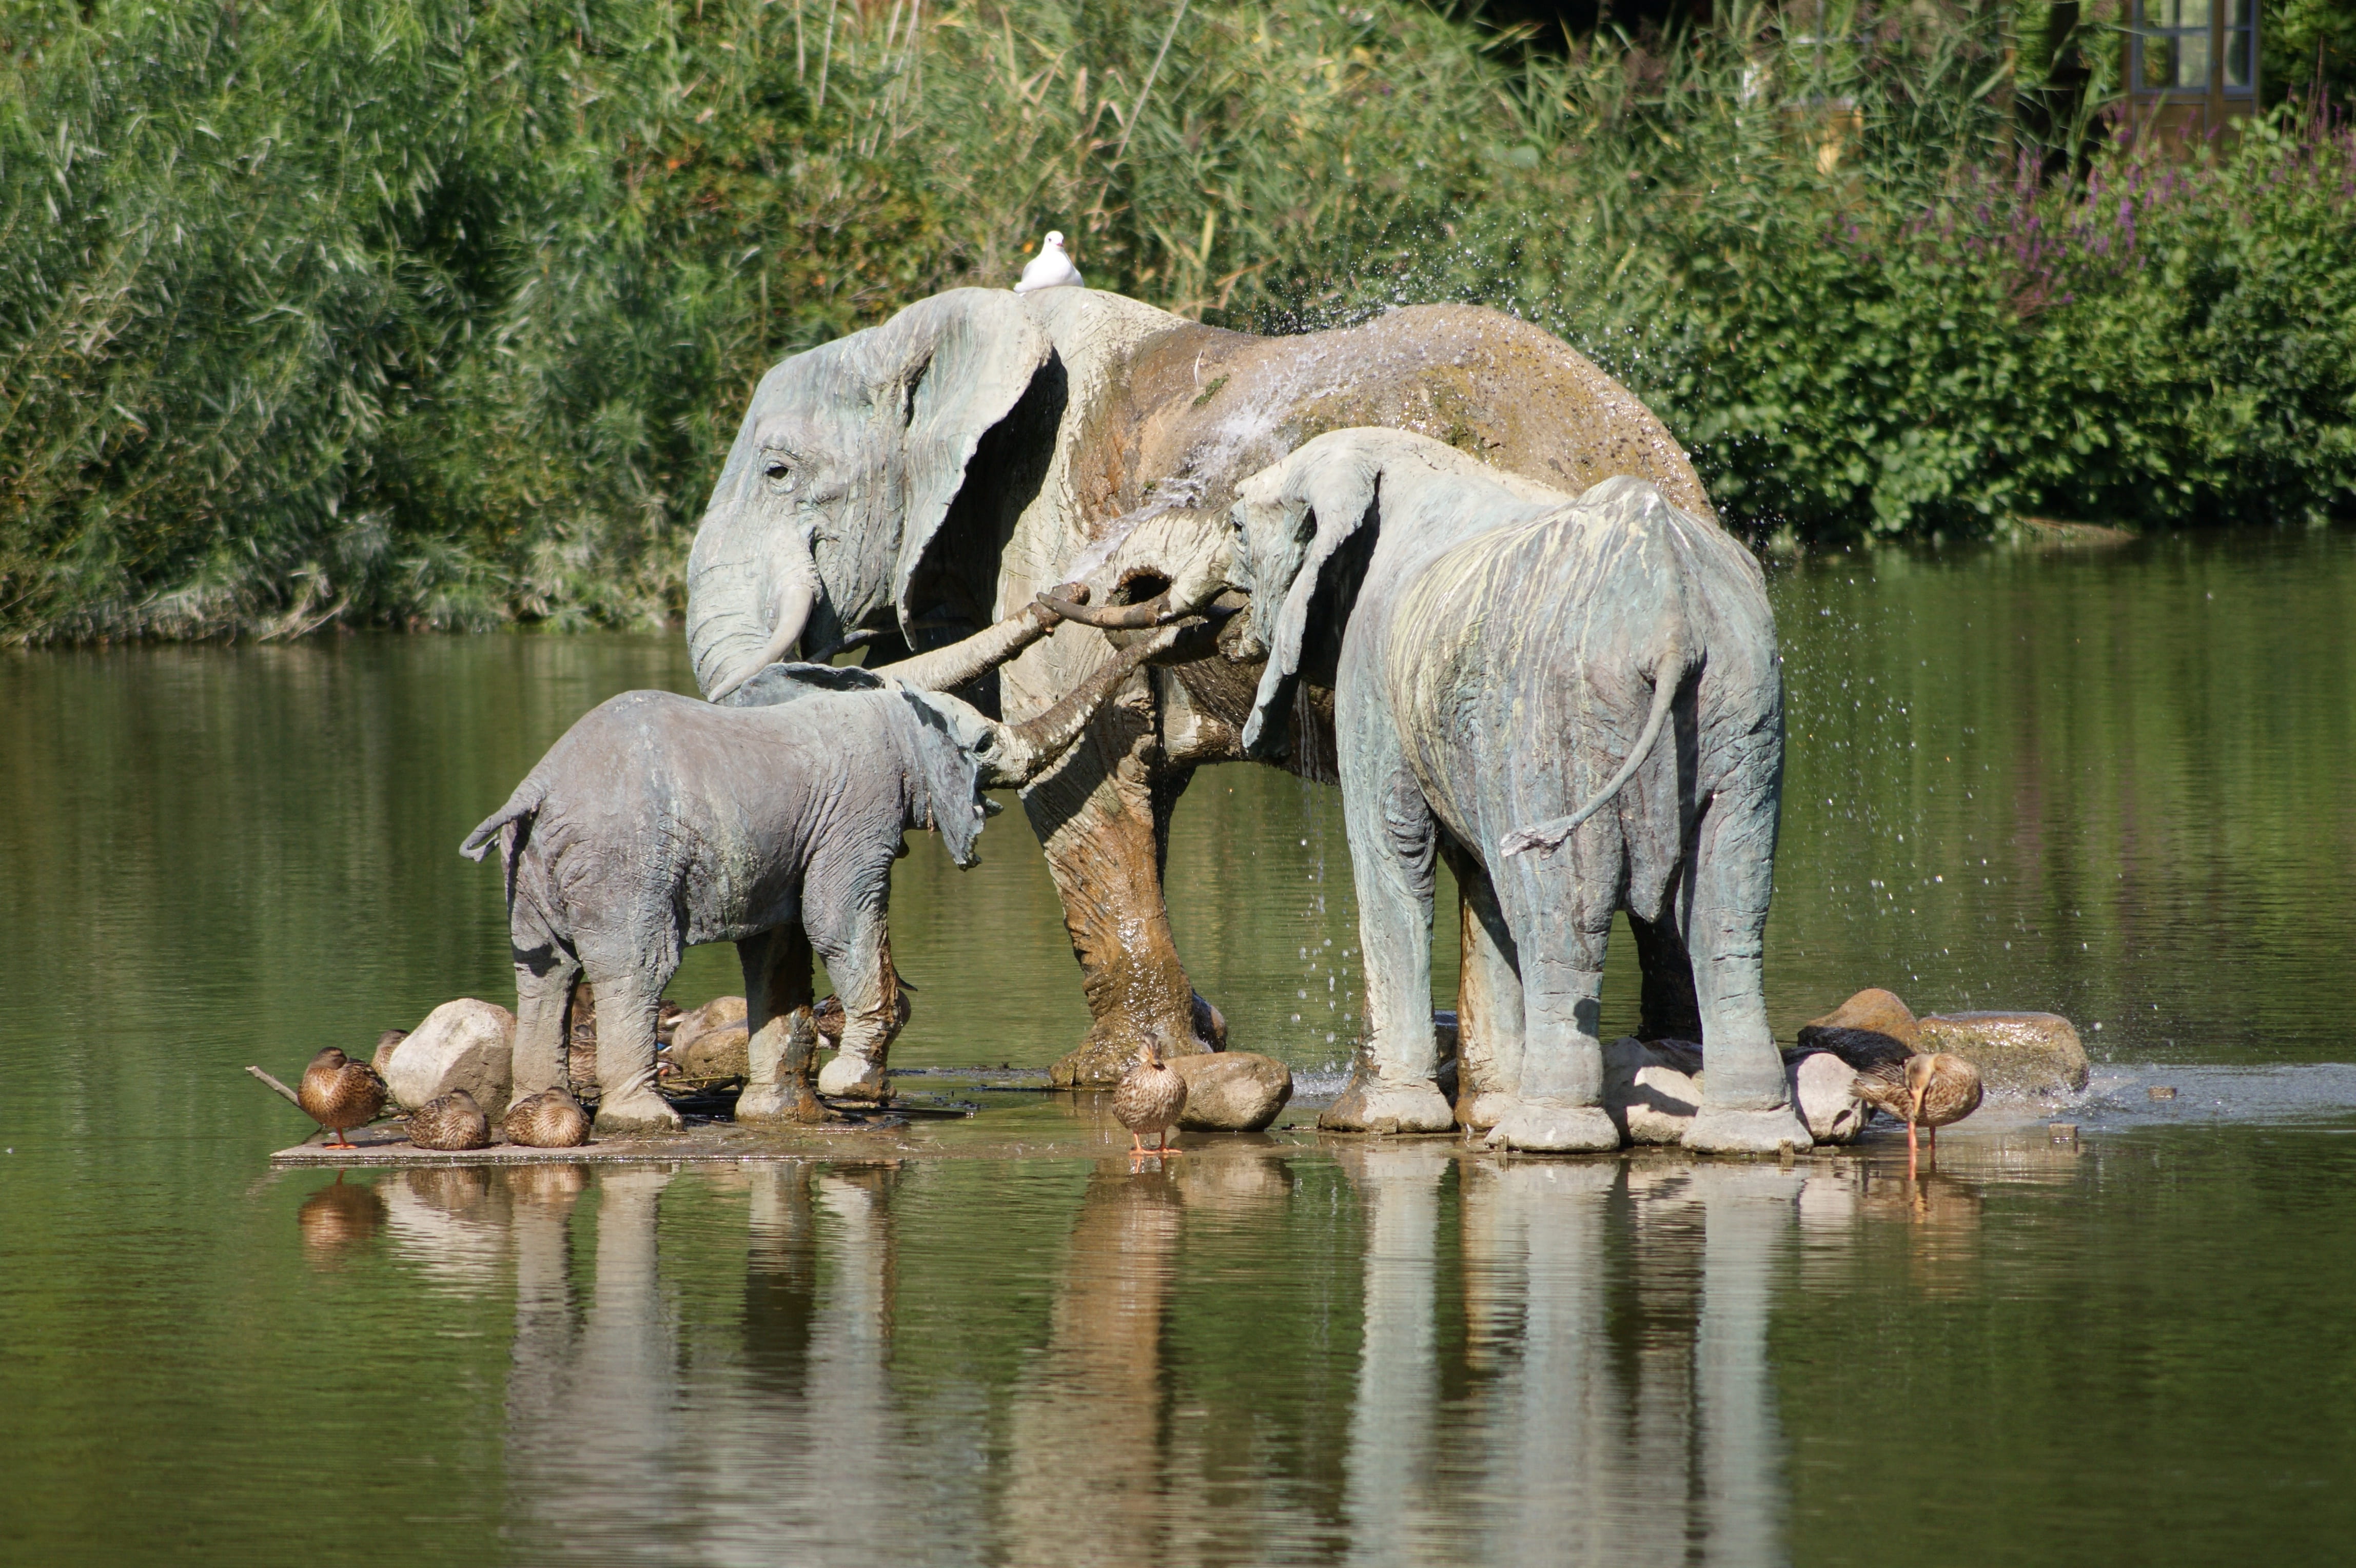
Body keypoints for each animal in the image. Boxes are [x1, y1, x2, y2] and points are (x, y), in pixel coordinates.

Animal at [461, 608, 1189, 1135]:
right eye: (981, 744)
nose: (1172, 620)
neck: (890, 702)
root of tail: (539, 788)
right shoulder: (859, 809)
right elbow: (839, 921)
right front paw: (856, 1087)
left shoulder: (782, 845)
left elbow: (777, 945)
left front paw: (780, 1114)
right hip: (624, 863)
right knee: (635, 966)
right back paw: (645, 1121)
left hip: (531, 868)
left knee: (545, 973)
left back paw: (542, 1114)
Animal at [679, 283, 1716, 1084]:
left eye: (778, 471)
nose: (1113, 593)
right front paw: (1201, 1040)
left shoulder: (1040, 526)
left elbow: (1086, 787)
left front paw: (1110, 1074)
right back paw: (1660, 1055)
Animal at [1228, 429, 1800, 1154]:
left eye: (1235, 527)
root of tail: (1669, 616)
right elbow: (1482, 883)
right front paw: (1480, 1111)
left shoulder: (1372, 665)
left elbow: (1395, 846)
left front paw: (1373, 1122)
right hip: (1743, 704)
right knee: (1727, 906)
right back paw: (1750, 1135)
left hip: (1554, 719)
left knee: (1564, 906)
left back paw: (1546, 1133)